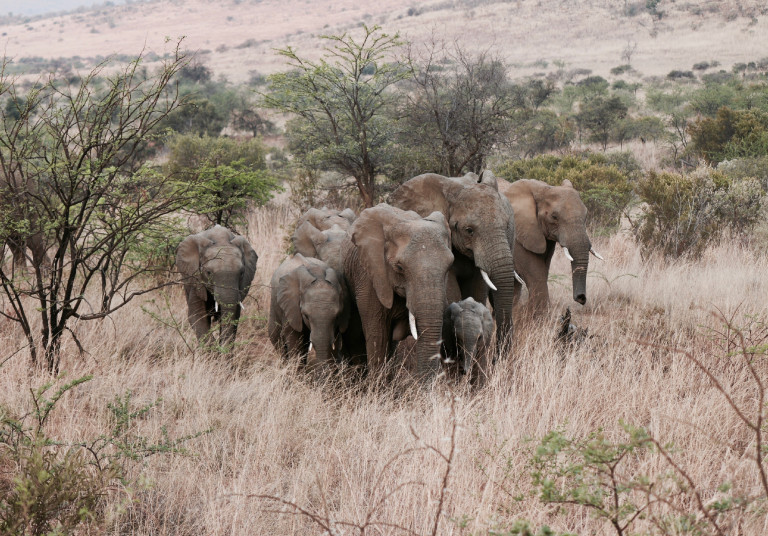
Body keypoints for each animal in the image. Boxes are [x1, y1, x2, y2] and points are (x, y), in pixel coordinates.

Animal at [498, 178, 608, 312]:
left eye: (586, 215)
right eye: (554, 217)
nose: (581, 298)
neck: (542, 188)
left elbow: (543, 270)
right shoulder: (518, 235)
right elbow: (535, 272)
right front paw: (538, 315)